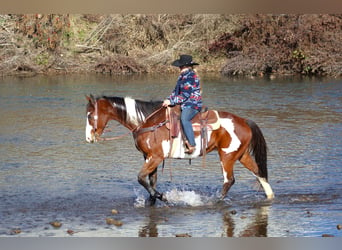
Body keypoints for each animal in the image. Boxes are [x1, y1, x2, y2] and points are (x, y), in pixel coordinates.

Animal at [86, 95, 276, 205]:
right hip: (241, 155)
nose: (88, 138)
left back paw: (215, 201)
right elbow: (151, 180)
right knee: (259, 172)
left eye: (89, 115)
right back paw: (270, 196)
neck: (148, 122)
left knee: (229, 180)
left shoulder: (155, 157)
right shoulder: (150, 157)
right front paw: (153, 199)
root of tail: (244, 121)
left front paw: (163, 197)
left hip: (227, 156)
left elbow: (141, 178)